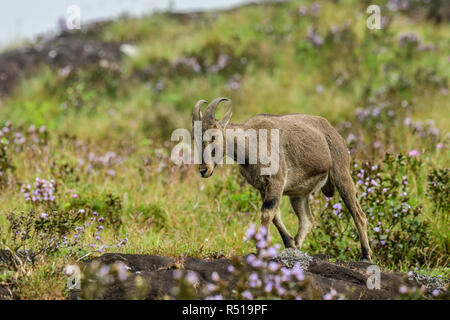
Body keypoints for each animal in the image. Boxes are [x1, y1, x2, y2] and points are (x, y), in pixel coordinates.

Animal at [193, 96, 372, 262]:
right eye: (196, 139)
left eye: (214, 137)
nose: (203, 170)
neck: (252, 144)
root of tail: (334, 132)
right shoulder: (263, 188)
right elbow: (275, 216)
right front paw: (289, 244)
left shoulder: (276, 181)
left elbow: (267, 213)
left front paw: (261, 250)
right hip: (299, 195)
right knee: (307, 220)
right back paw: (296, 247)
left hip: (341, 173)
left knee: (358, 214)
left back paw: (366, 256)